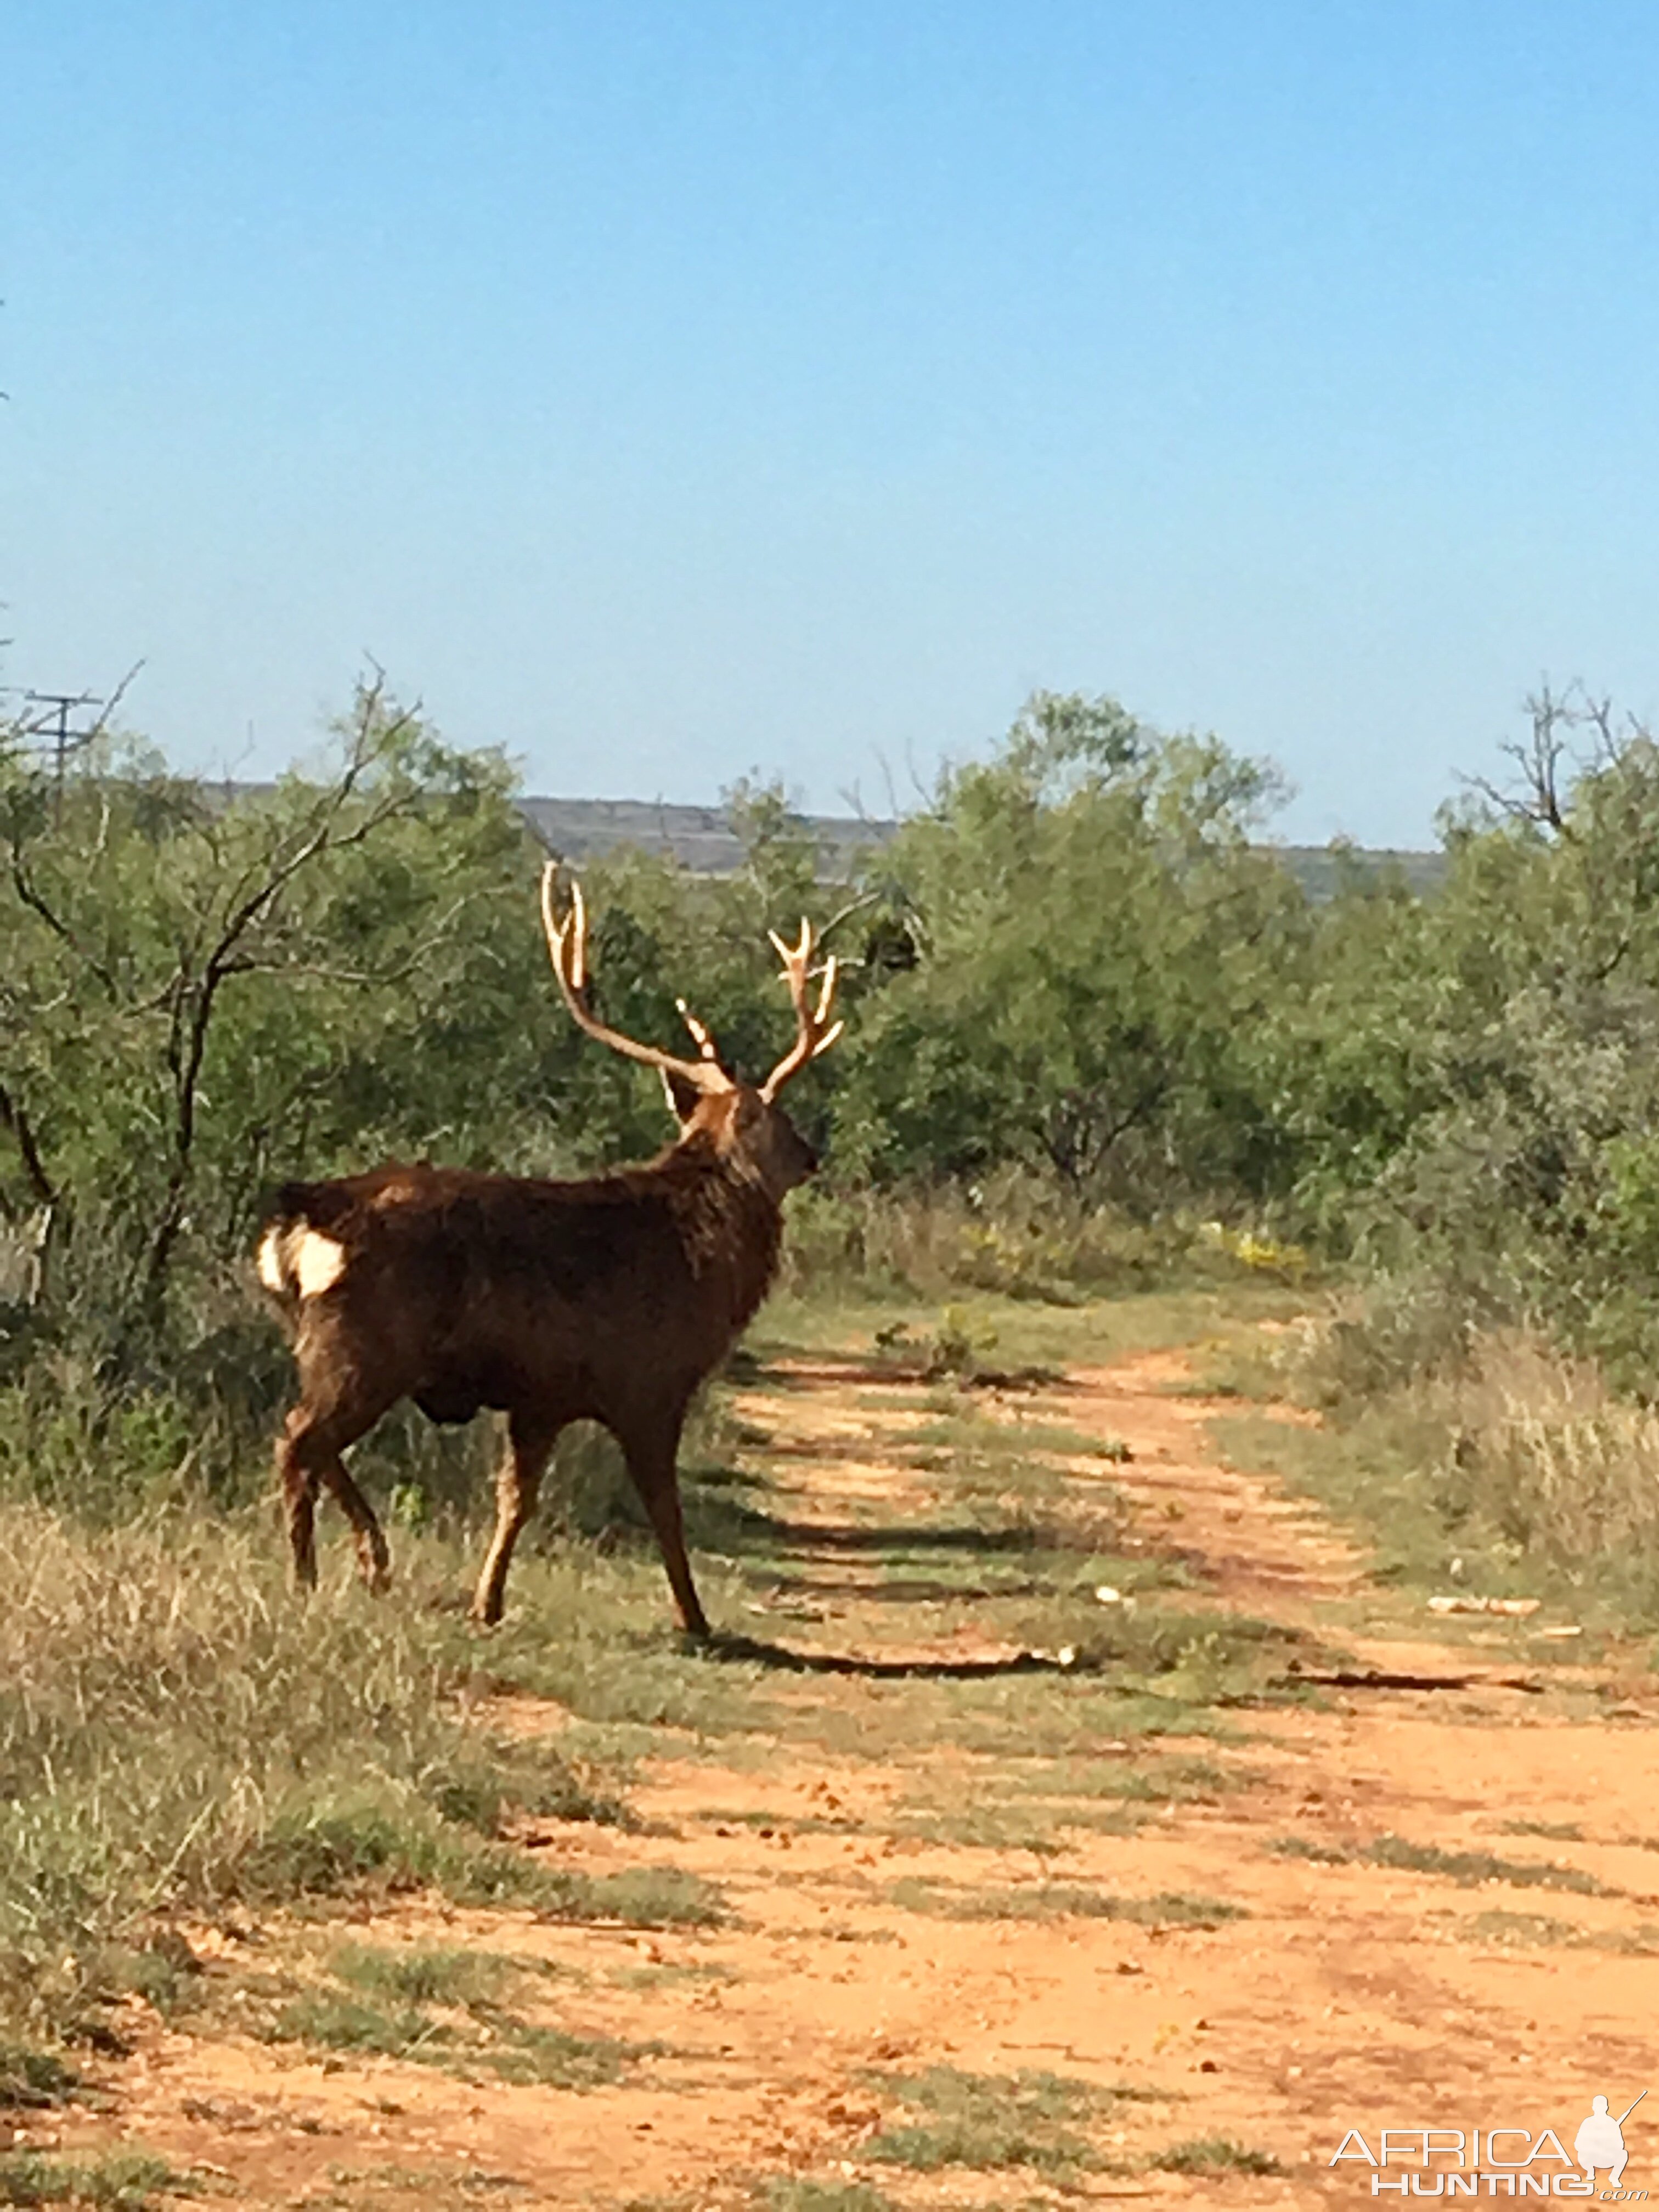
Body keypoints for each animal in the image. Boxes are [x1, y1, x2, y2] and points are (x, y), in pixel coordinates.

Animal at [256, 862, 845, 1645]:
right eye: (779, 1117)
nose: (811, 1157)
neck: (705, 1261)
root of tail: (303, 1217)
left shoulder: (542, 1395)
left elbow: (516, 1498)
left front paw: (487, 1602)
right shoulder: (649, 1381)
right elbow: (663, 1504)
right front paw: (693, 1618)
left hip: (332, 1347)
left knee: (313, 1445)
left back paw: (372, 1560)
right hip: (366, 1344)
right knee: (299, 1442)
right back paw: (308, 1578)